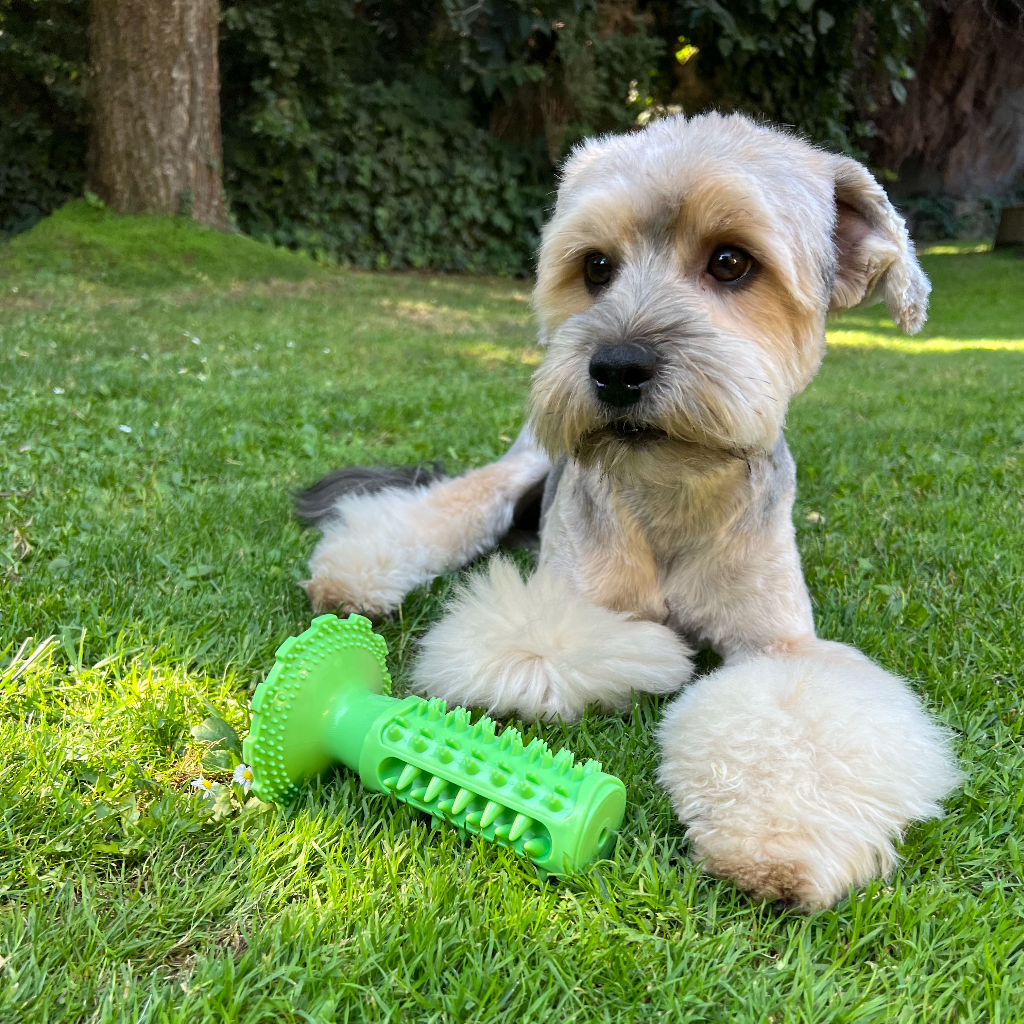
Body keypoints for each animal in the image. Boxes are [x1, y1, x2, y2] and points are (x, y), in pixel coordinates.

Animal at [299, 114, 958, 913]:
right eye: (596, 267)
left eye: (731, 262)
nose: (615, 368)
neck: (672, 490)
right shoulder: (555, 605)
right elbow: (555, 649)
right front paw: (658, 652)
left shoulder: (782, 645)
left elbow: (790, 710)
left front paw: (777, 841)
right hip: (521, 465)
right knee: (446, 507)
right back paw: (352, 575)